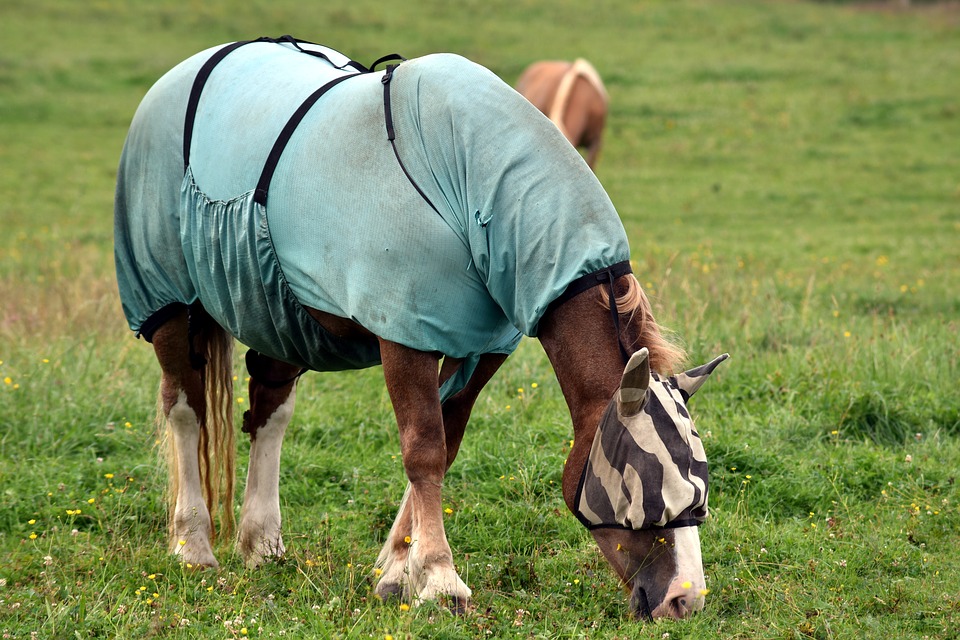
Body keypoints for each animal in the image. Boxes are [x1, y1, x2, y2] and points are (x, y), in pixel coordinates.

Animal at [114, 36, 720, 620]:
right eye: (652, 498)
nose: (685, 600)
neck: (468, 177)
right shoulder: (406, 337)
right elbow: (424, 450)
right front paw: (439, 579)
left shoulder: (484, 347)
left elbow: (445, 445)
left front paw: (397, 570)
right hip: (167, 303)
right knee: (185, 408)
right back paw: (193, 545)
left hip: (274, 311)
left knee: (269, 411)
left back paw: (261, 543)